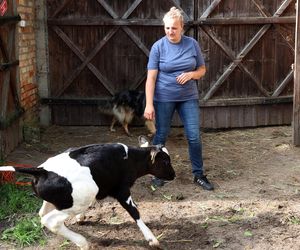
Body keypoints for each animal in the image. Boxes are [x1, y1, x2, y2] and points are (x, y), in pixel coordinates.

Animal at [0, 136, 175, 249]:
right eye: (166, 161)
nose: (173, 175)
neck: (131, 158)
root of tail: (42, 170)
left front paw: (81, 218)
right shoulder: (122, 190)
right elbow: (134, 212)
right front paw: (152, 239)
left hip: (59, 201)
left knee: (42, 214)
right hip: (74, 203)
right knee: (51, 220)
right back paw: (82, 242)